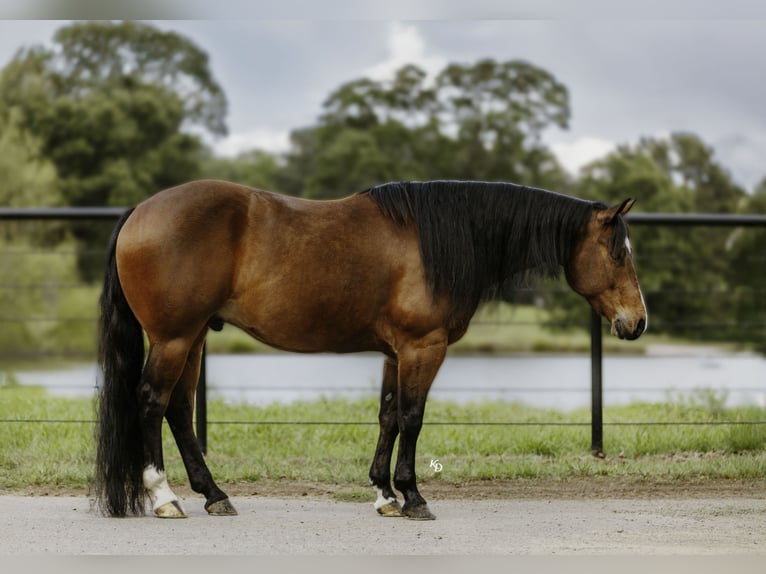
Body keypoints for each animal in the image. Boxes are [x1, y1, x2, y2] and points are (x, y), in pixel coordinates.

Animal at [94, 179, 647, 520]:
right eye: (618, 254)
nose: (637, 322)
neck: (441, 241)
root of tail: (141, 210)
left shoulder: (394, 353)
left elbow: (387, 416)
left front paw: (384, 494)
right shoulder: (424, 348)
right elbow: (412, 418)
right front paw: (413, 496)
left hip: (193, 339)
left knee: (179, 410)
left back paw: (214, 495)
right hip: (174, 338)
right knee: (152, 402)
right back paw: (164, 498)